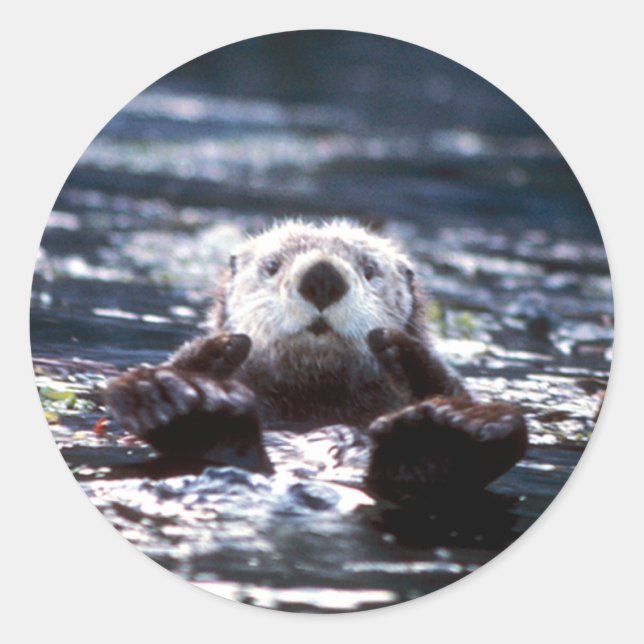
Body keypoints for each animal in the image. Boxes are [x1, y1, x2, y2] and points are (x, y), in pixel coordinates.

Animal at [105, 220, 527, 504]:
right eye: (272, 266)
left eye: (369, 270)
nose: (322, 275)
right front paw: (221, 349)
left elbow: (449, 383)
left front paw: (402, 350)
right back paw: (177, 401)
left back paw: (443, 432)